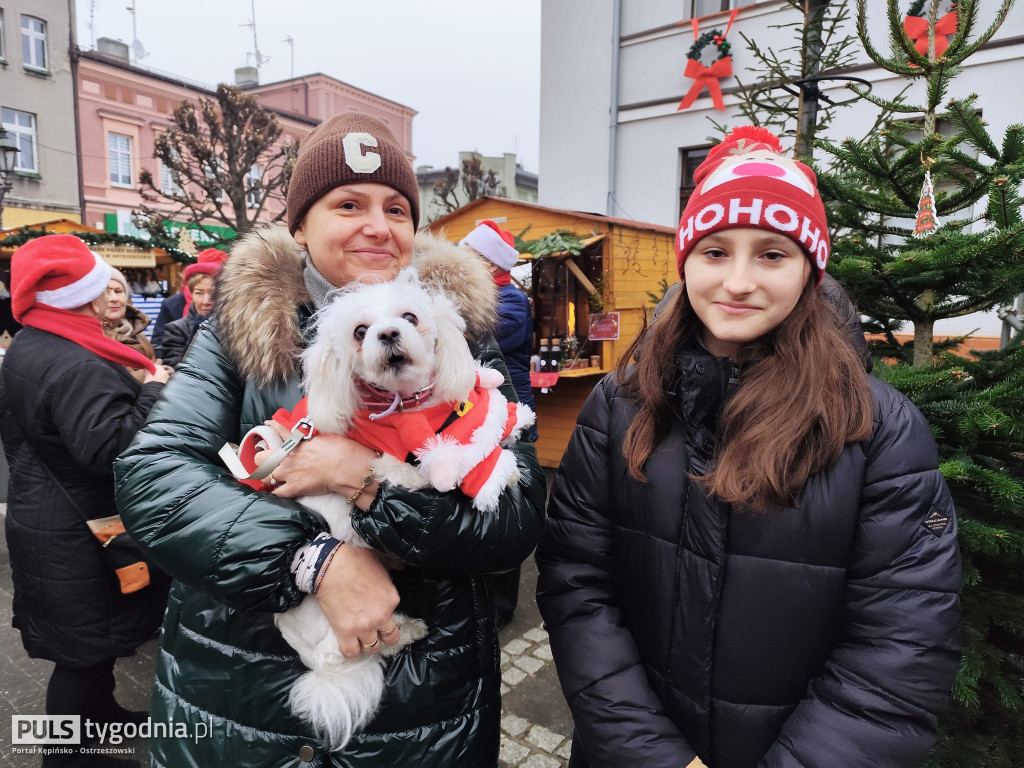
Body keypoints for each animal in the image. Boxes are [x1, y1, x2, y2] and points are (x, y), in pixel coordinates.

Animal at [268, 268, 532, 753]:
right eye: (359, 332)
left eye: (409, 317)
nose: (388, 334)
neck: (410, 405)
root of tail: (314, 664)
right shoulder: (398, 466)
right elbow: (450, 464)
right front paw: (497, 471)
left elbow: (485, 418)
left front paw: (511, 417)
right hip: (341, 631)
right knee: (354, 648)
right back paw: (408, 630)